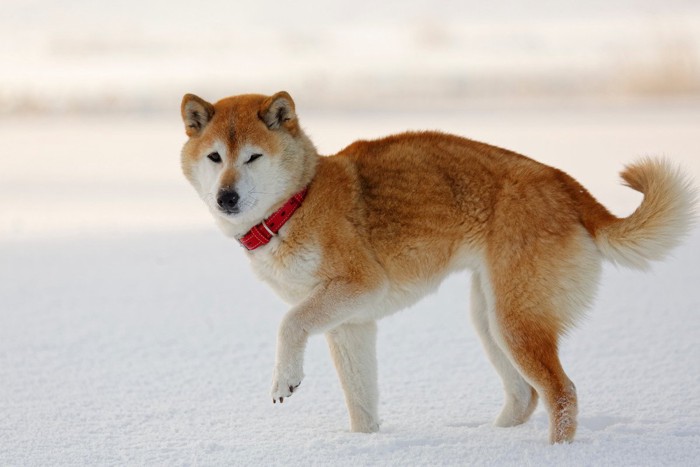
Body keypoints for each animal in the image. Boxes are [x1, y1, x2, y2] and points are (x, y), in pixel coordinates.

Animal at [179, 90, 696, 442]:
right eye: (215, 157)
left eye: (253, 157)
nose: (227, 197)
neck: (295, 206)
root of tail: (567, 185)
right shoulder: (349, 325)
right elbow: (361, 402)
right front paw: (363, 447)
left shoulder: (359, 287)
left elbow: (289, 322)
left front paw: (284, 378)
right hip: (490, 318)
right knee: (527, 395)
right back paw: (491, 442)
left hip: (515, 321)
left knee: (562, 393)